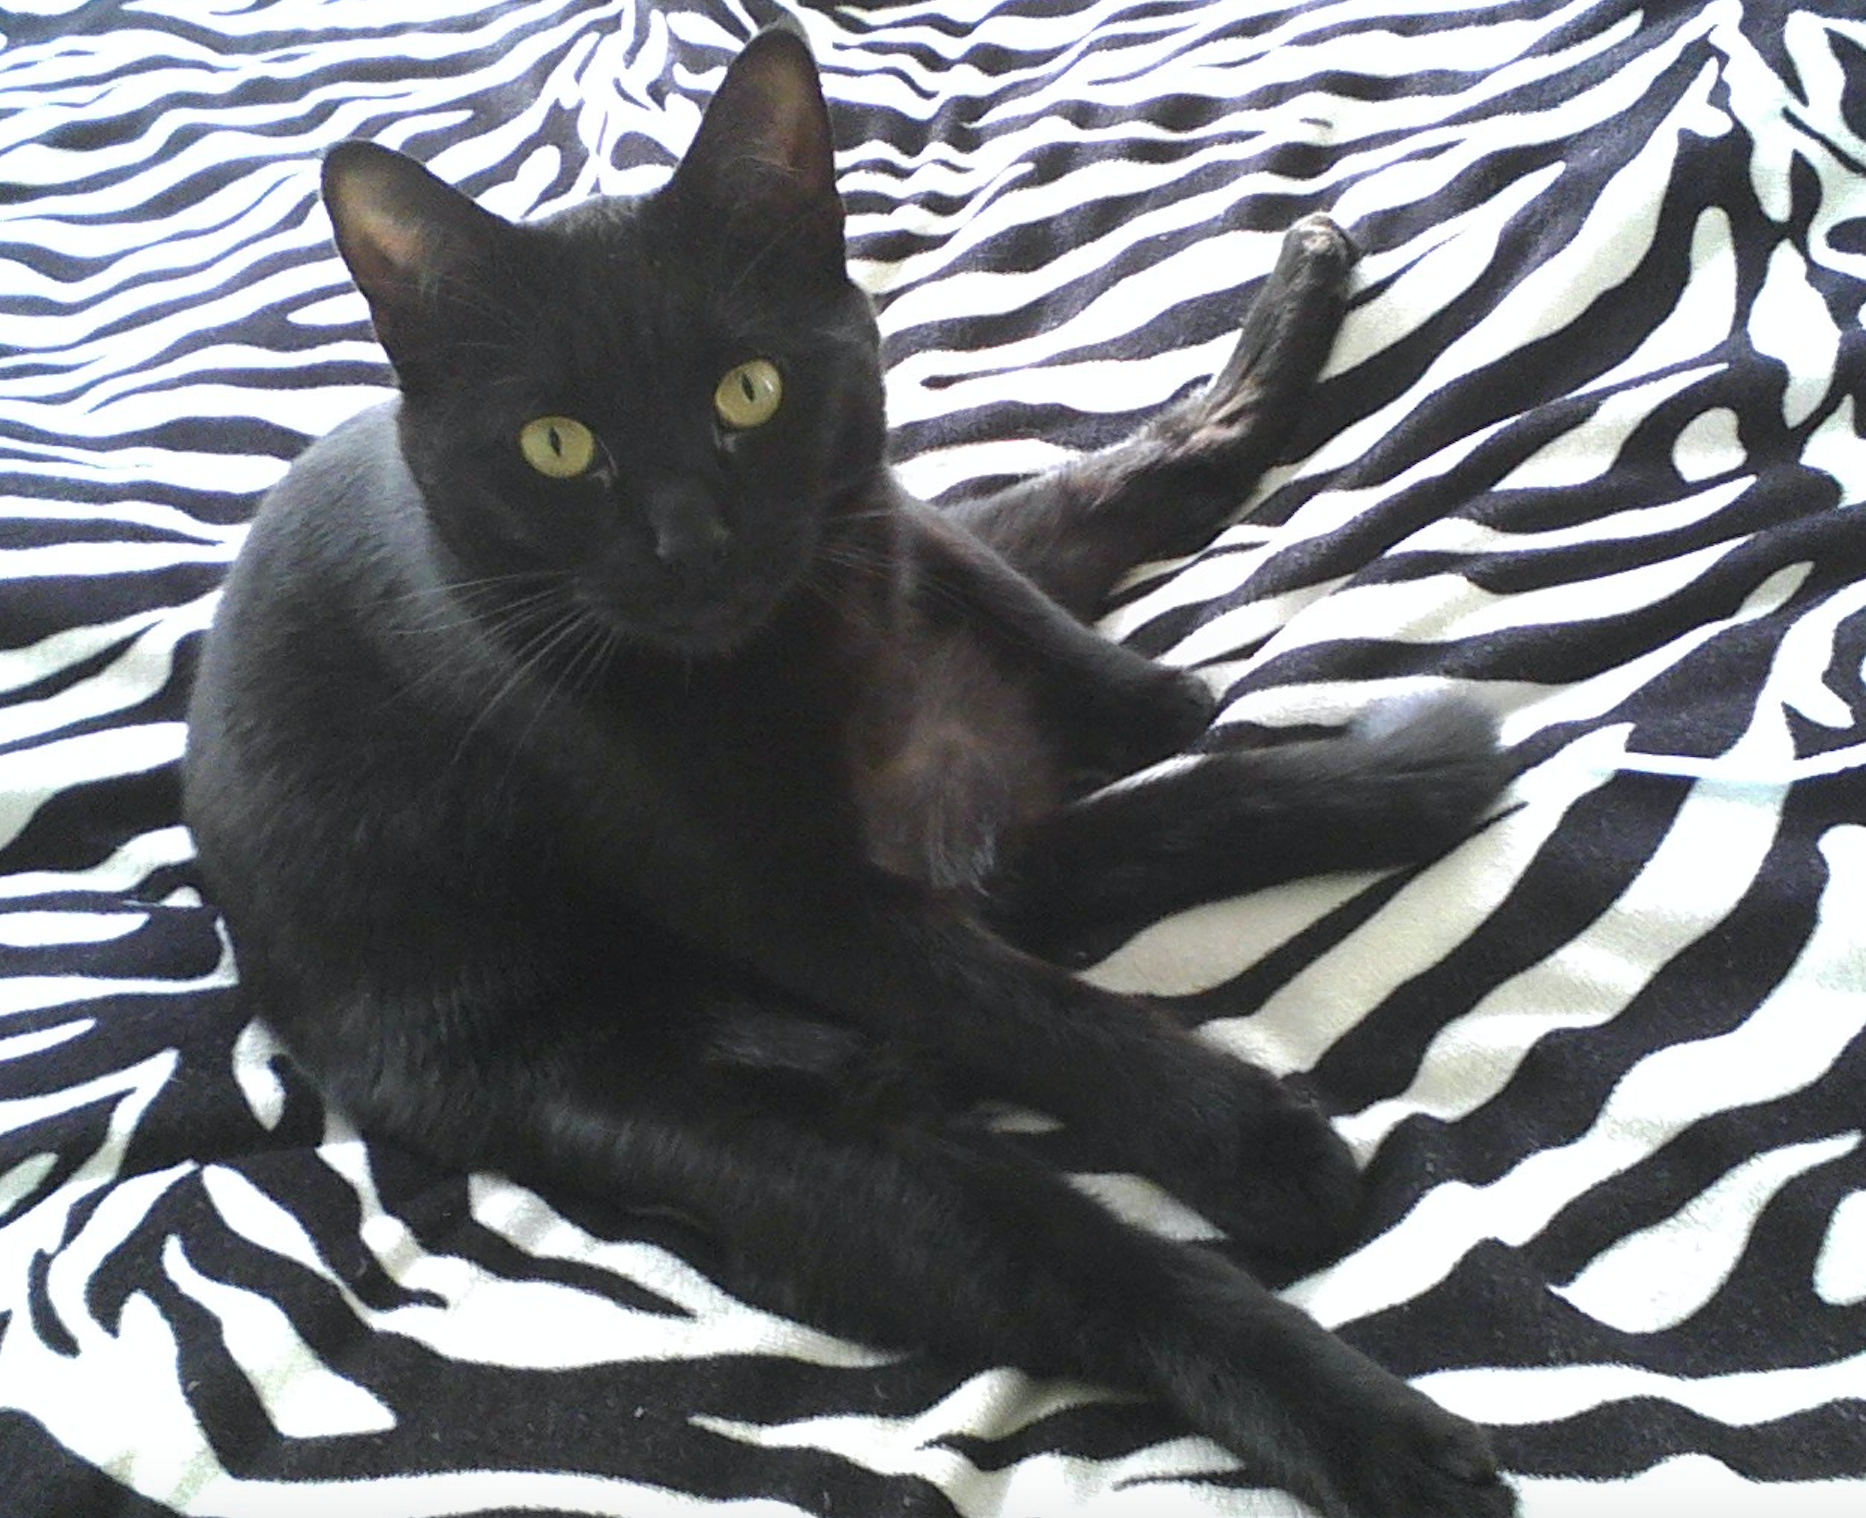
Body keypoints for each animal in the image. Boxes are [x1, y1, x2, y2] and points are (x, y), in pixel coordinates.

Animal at [181, 23, 1515, 1518]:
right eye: (557, 445)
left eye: (748, 390)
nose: (689, 541)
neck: (798, 654)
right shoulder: (786, 902)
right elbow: (1035, 1012)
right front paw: (1246, 1141)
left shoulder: (883, 518)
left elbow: (999, 585)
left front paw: (1148, 699)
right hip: (742, 1138)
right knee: (1084, 1265)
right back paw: (1380, 1423)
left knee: (1149, 495)